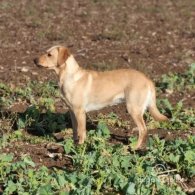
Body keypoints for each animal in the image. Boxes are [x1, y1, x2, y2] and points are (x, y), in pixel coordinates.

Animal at [34, 45, 168, 149]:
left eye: (49, 54)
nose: (34, 60)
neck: (68, 77)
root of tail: (147, 79)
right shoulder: (72, 111)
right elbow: (75, 131)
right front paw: (74, 145)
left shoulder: (80, 112)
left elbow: (82, 132)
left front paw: (81, 148)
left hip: (133, 109)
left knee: (143, 130)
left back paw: (134, 148)